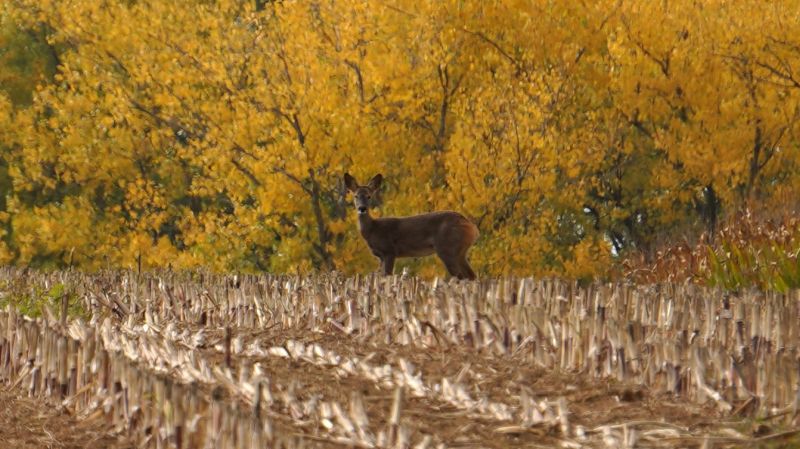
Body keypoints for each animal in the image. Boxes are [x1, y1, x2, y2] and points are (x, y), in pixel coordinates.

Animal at [344, 173, 479, 280]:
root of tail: (472, 227)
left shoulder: (389, 251)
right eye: (355, 196)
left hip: (447, 248)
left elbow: (388, 276)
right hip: (461, 252)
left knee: (461, 276)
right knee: (471, 276)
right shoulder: (381, 257)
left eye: (369, 196)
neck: (373, 230)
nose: (362, 208)